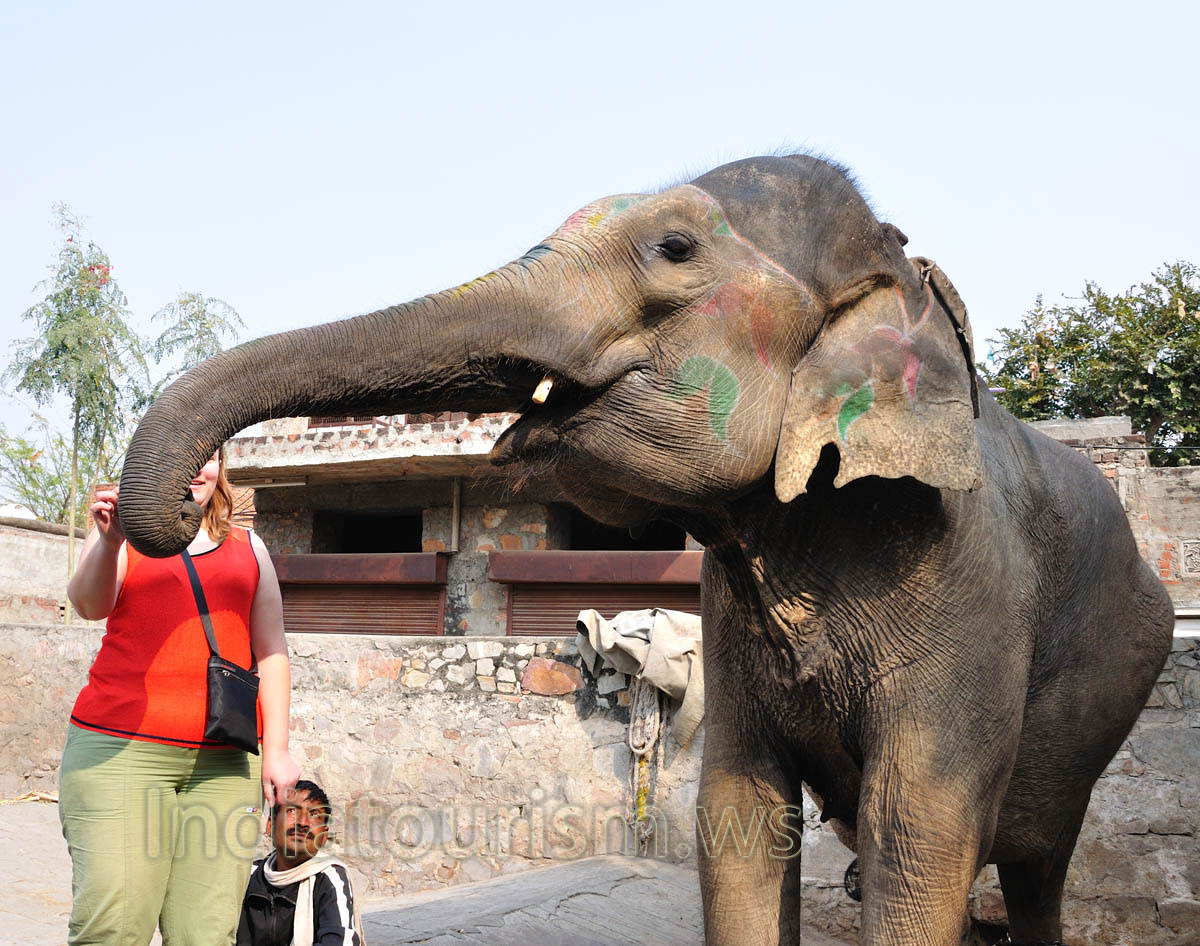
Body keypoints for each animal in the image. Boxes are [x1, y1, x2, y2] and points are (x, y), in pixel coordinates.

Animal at [117, 154, 1173, 946]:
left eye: (674, 250)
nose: (192, 504)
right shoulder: (734, 621)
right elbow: (739, 815)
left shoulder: (965, 590)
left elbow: (919, 827)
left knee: (1035, 863)